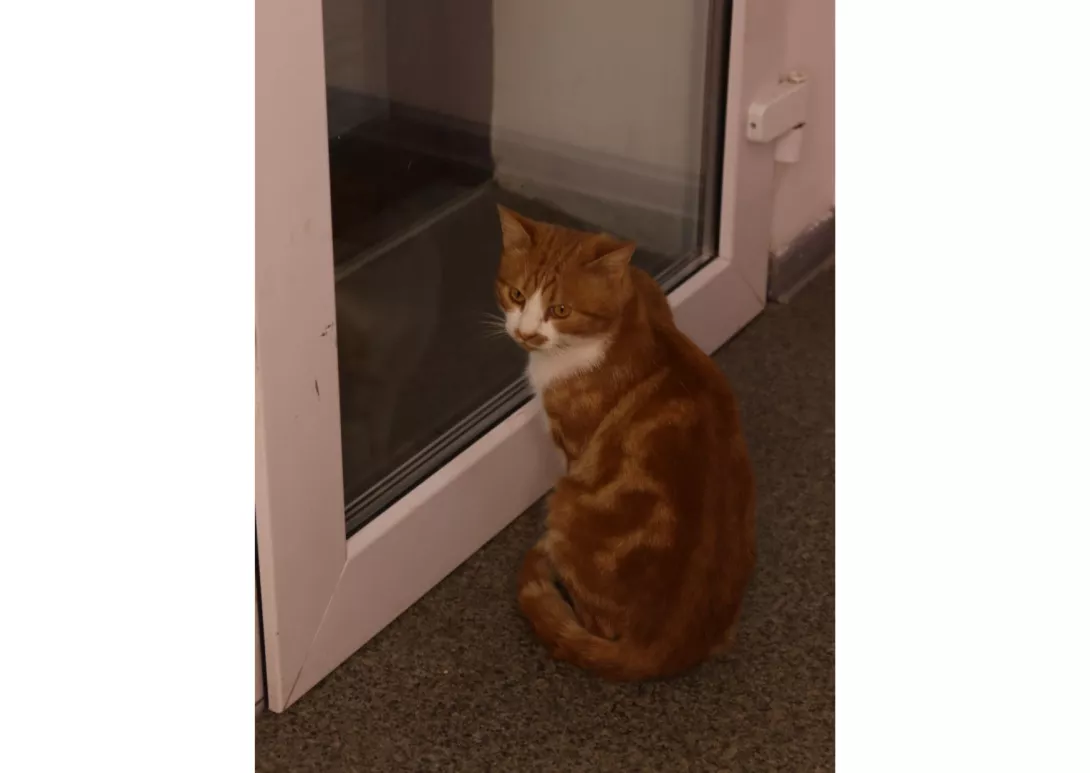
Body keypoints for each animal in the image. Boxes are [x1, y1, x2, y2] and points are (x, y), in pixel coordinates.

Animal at [496, 205, 756, 681]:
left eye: (560, 309)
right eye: (517, 294)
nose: (526, 334)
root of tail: (660, 650)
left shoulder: (575, 446)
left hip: (566, 500)